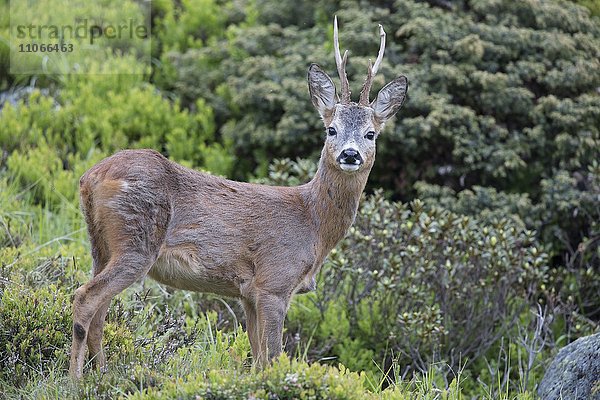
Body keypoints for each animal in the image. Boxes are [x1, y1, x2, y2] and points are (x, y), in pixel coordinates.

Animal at [69, 15, 408, 378]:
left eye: (370, 134)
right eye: (331, 129)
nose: (350, 154)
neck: (314, 224)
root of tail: (90, 177)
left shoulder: (247, 292)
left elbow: (257, 358)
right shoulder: (274, 281)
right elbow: (273, 356)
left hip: (101, 245)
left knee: (99, 311)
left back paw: (102, 375)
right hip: (137, 241)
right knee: (86, 298)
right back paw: (74, 381)